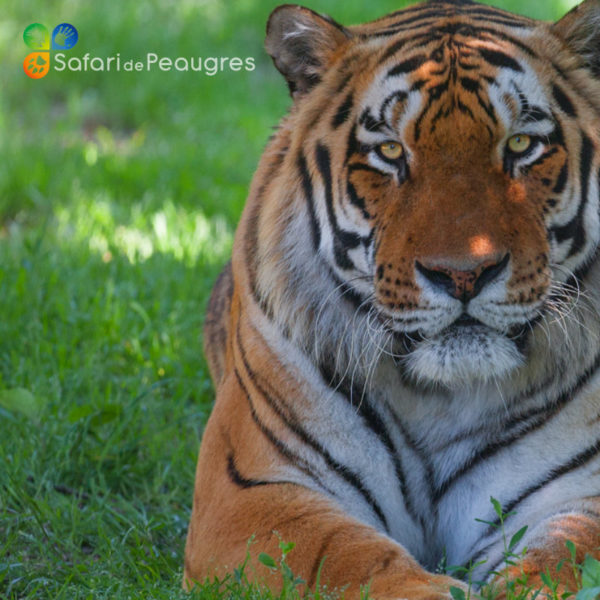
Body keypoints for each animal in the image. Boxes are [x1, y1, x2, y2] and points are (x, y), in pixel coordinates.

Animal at [185, 1, 600, 596]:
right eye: (389, 151)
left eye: (521, 145)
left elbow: (564, 556)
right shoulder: (250, 490)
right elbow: (340, 556)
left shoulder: (580, 491)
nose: (463, 274)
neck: (440, 396)